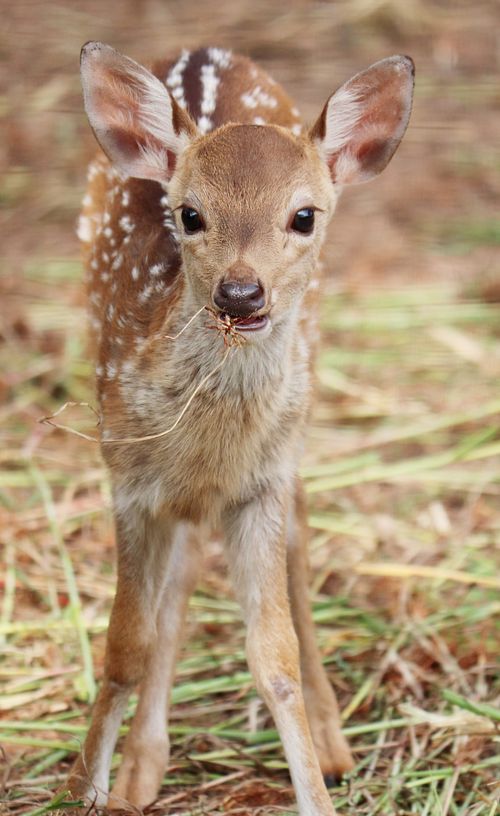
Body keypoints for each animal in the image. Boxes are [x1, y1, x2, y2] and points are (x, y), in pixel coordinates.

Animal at [68, 41, 414, 815]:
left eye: (304, 216)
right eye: (190, 214)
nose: (240, 291)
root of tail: (211, 50)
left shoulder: (261, 484)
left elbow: (273, 658)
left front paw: (316, 789)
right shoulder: (125, 475)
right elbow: (124, 647)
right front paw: (88, 786)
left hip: (297, 420)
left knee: (299, 534)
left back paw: (333, 740)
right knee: (184, 571)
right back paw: (141, 766)